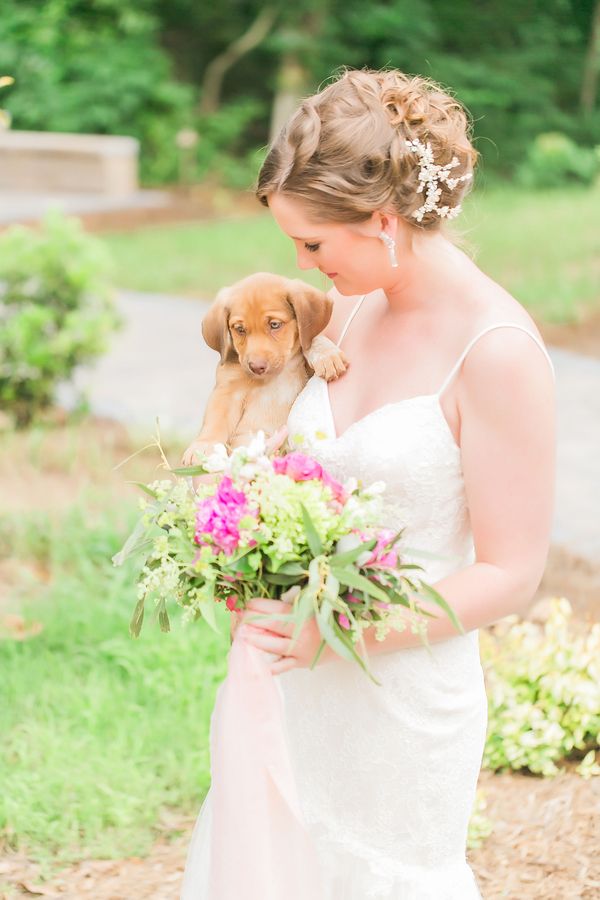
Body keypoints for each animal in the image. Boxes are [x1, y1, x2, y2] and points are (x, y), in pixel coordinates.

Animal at [182, 270, 346, 464]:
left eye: (274, 325)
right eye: (240, 329)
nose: (256, 367)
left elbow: (311, 339)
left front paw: (327, 354)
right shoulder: (227, 391)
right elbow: (215, 421)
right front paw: (203, 445)